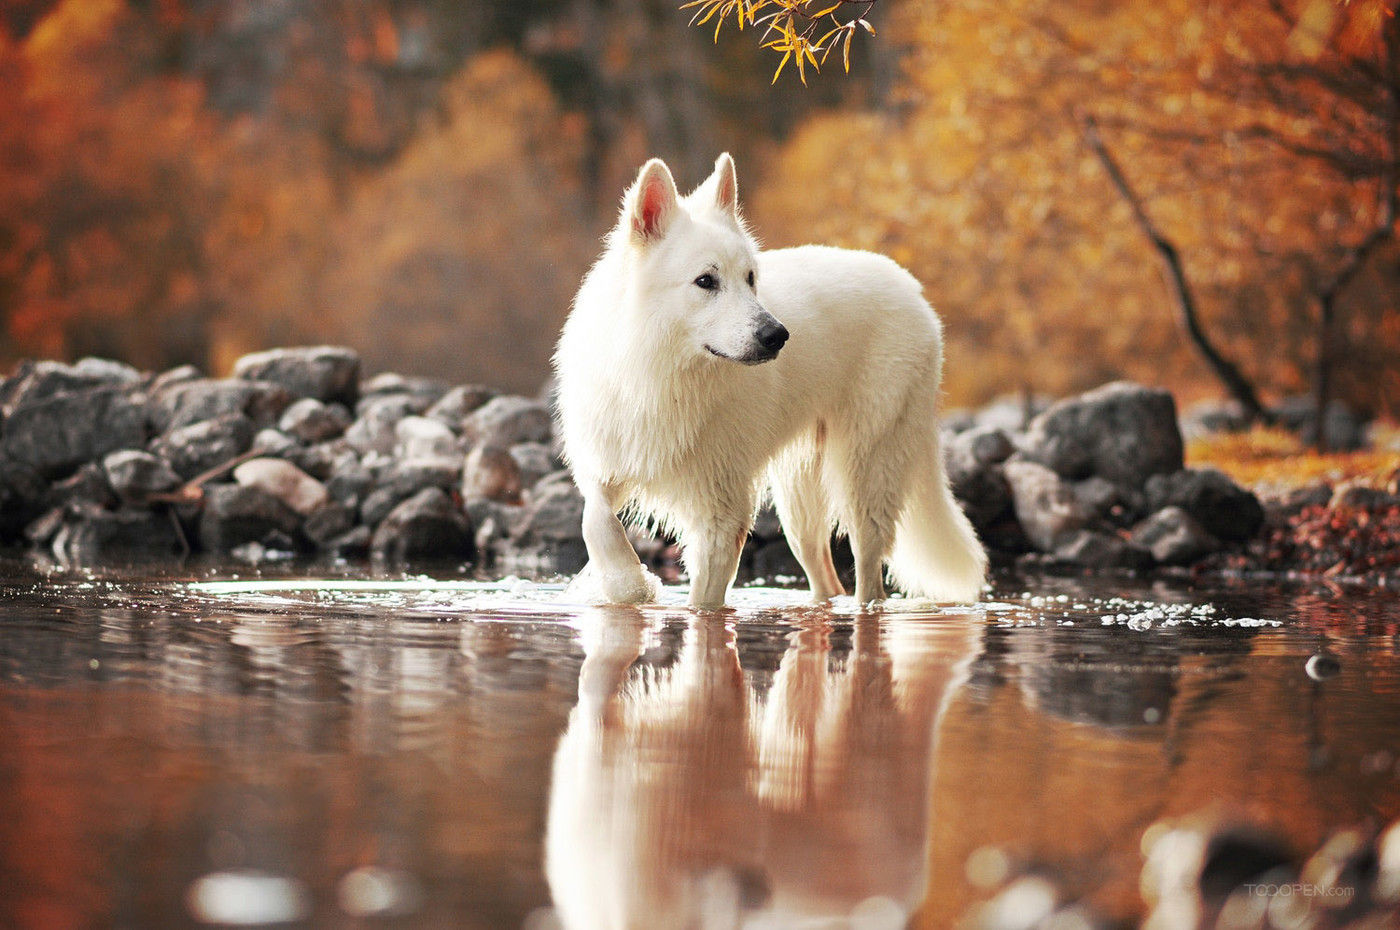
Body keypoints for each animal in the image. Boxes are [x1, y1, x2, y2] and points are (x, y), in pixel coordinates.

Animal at [551, 153, 991, 610]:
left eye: (750, 278)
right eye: (706, 281)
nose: (777, 336)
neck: (661, 374)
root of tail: (913, 289)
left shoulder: (721, 510)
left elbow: (703, 602)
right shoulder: (606, 467)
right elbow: (595, 522)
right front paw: (627, 585)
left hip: (864, 476)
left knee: (869, 577)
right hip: (799, 506)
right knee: (825, 578)